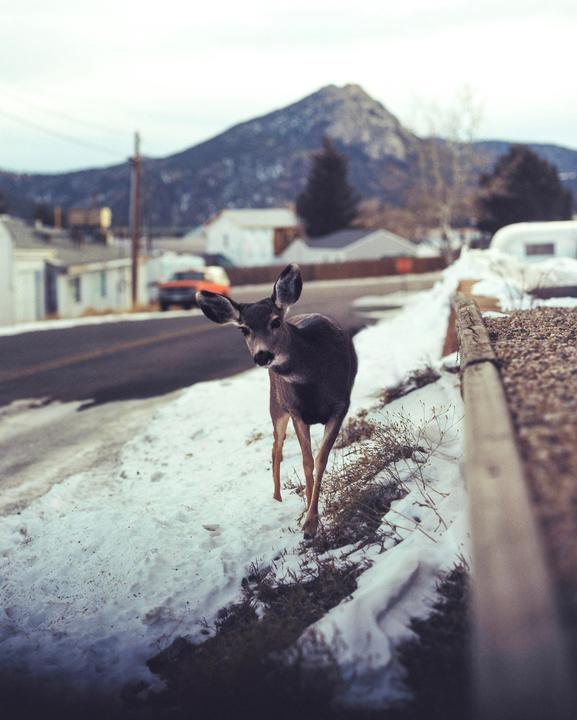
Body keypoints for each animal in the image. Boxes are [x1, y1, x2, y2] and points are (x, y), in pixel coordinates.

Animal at [196, 263, 358, 538]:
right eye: (244, 329)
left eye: (275, 321)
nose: (262, 356)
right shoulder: (295, 410)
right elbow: (307, 461)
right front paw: (309, 521)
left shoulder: (340, 405)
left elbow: (320, 459)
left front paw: (311, 519)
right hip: (275, 404)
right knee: (276, 449)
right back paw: (276, 499)